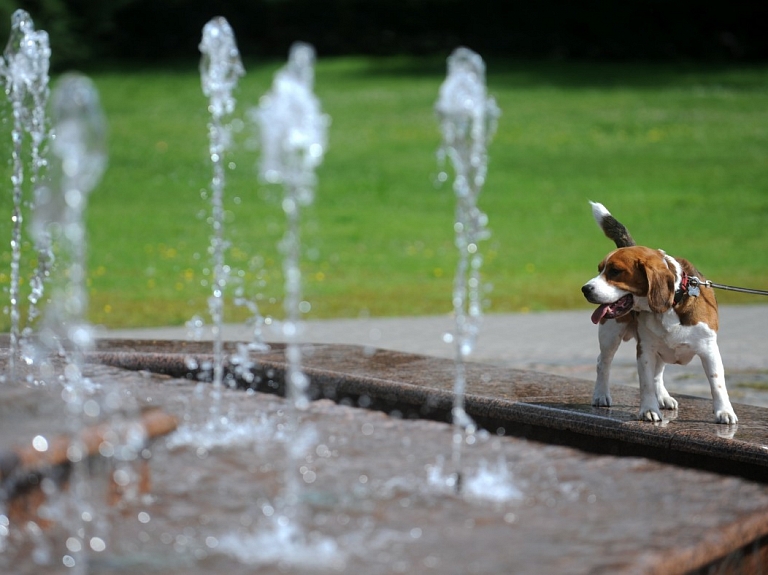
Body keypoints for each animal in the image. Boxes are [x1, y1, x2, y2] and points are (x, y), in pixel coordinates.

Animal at [584, 201, 736, 424]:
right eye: (600, 269)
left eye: (615, 271)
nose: (585, 289)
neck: (672, 304)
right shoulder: (645, 349)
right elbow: (646, 383)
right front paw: (648, 409)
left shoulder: (709, 349)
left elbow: (717, 384)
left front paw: (724, 411)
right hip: (610, 335)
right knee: (603, 362)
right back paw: (601, 394)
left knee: (657, 374)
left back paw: (663, 397)